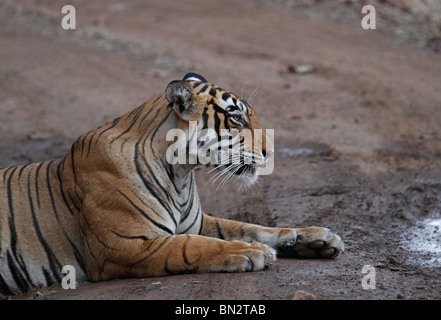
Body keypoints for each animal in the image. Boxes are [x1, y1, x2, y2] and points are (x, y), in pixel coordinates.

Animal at [0, 72, 344, 296]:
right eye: (237, 118)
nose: (270, 152)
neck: (181, 174)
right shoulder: (124, 244)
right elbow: (193, 246)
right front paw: (251, 252)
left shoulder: (199, 222)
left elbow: (251, 227)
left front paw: (317, 237)